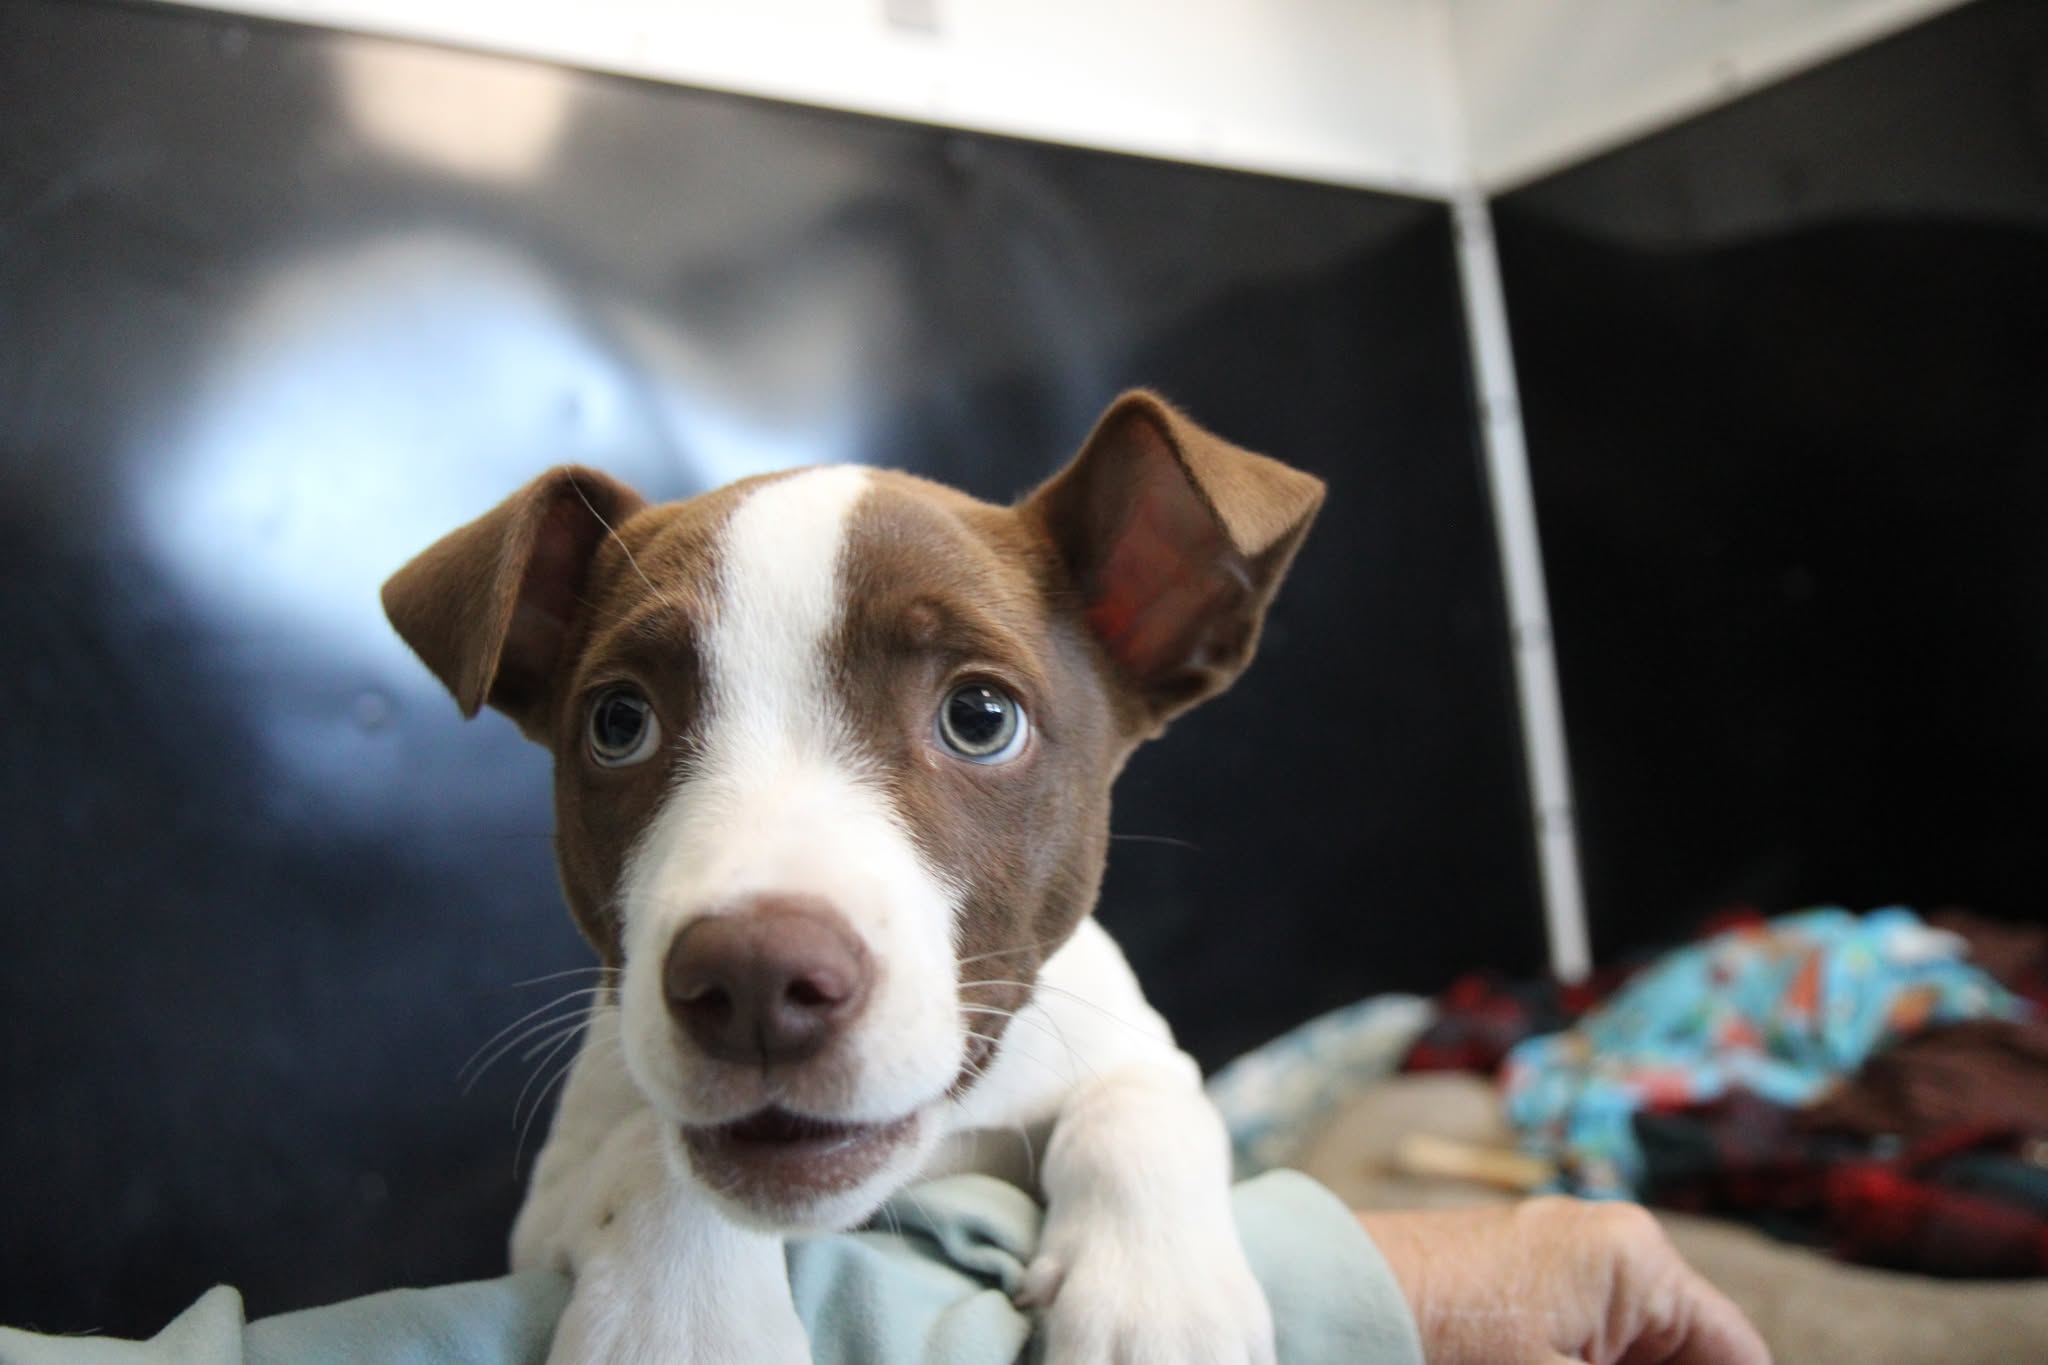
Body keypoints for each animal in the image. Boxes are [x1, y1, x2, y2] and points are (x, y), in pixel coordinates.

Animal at [382, 390, 1324, 1363]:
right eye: (618, 722)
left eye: (981, 718)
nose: (755, 980)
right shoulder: (553, 1191)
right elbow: (656, 1143)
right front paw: (683, 1323)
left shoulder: (1121, 1038)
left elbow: (1140, 1099)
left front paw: (1156, 1297)